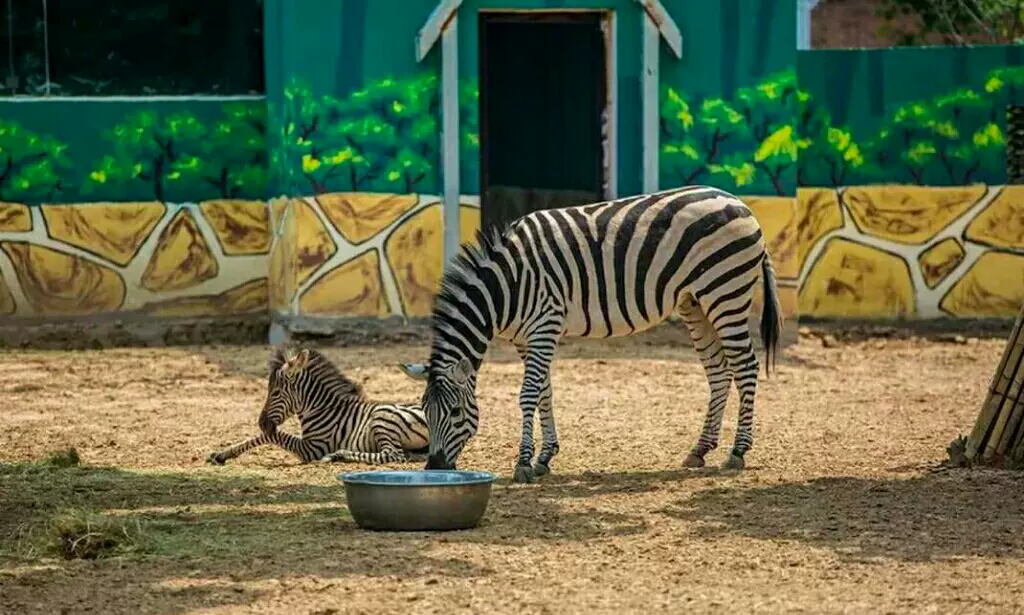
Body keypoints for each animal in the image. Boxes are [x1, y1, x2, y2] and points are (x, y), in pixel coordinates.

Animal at [205, 345, 430, 464]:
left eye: (275, 392)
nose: (262, 423)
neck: (323, 409)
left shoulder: (312, 448)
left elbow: (273, 436)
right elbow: (260, 437)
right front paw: (222, 454)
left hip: (381, 418)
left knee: (394, 455)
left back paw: (338, 454)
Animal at [399, 184, 782, 482]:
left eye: (455, 413)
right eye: (424, 411)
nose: (434, 468)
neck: (506, 287)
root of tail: (739, 202)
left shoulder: (545, 325)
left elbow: (528, 394)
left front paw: (523, 463)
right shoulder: (527, 337)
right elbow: (545, 393)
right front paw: (545, 457)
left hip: (726, 292)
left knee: (745, 367)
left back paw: (737, 452)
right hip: (696, 303)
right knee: (718, 372)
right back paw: (700, 449)